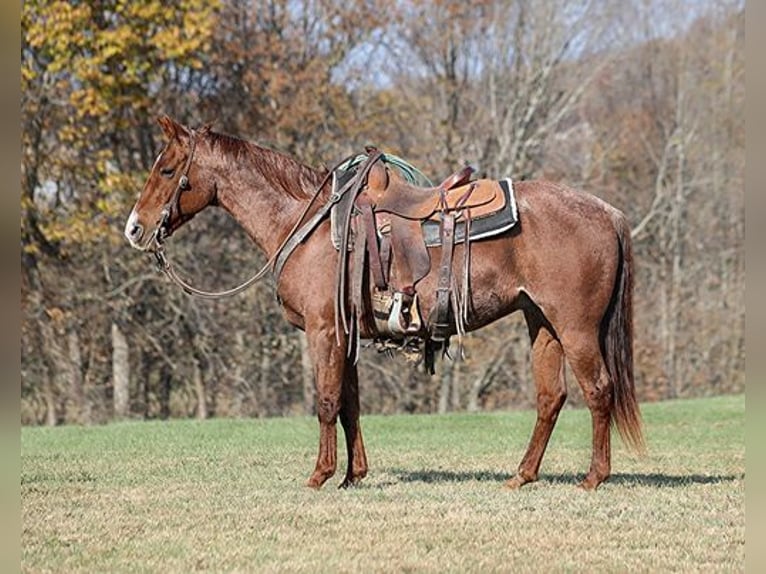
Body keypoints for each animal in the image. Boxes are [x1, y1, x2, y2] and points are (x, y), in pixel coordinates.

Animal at [124, 116, 640, 490]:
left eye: (167, 170)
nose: (134, 228)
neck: (307, 224)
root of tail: (607, 212)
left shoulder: (325, 330)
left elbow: (327, 401)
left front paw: (319, 476)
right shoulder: (346, 335)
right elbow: (350, 403)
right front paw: (353, 476)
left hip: (575, 328)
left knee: (599, 391)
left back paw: (593, 478)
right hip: (542, 323)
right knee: (551, 397)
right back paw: (522, 476)